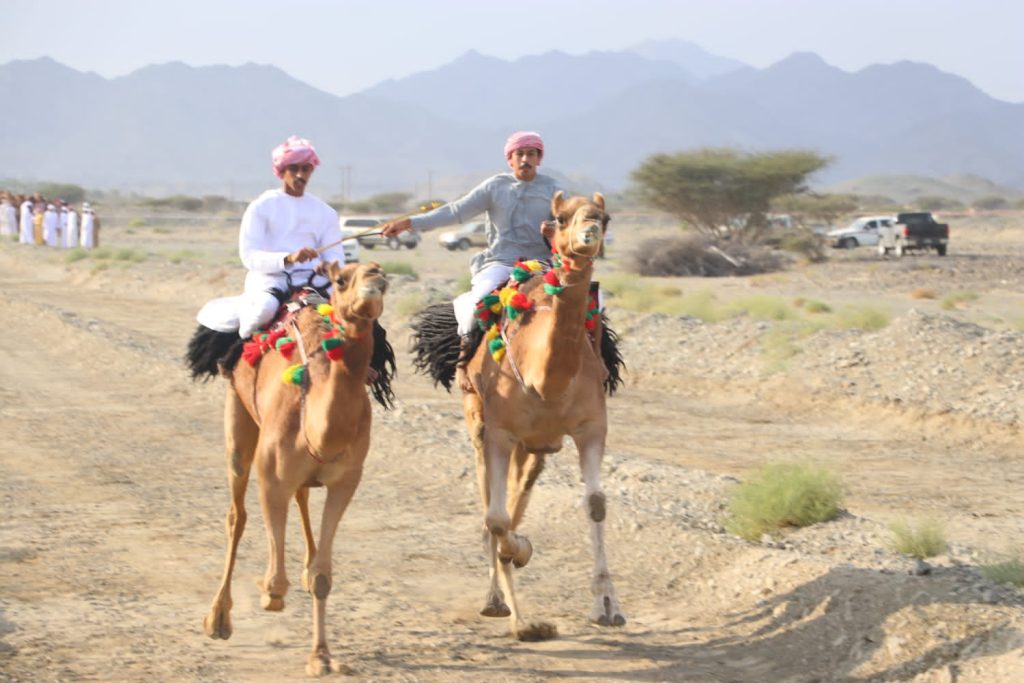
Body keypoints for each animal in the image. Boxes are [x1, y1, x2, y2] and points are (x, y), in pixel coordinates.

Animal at [188, 261, 393, 676]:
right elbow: (274, 580)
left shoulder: (346, 481)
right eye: (341, 279)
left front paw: (322, 656)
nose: (375, 276)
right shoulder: (271, 478)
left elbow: (323, 575)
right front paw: (268, 593)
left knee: (301, 500)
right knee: (236, 515)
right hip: (238, 422)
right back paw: (218, 618)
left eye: (382, 274)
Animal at [413, 191, 625, 640]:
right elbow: (496, 517)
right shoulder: (499, 432)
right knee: (490, 503)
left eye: (605, 217)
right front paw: (519, 561)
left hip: (537, 446)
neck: (544, 376)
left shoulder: (591, 426)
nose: (589, 233)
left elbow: (595, 504)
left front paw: (607, 605)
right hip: (479, 423)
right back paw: (504, 605)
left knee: (519, 491)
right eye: (560, 217)